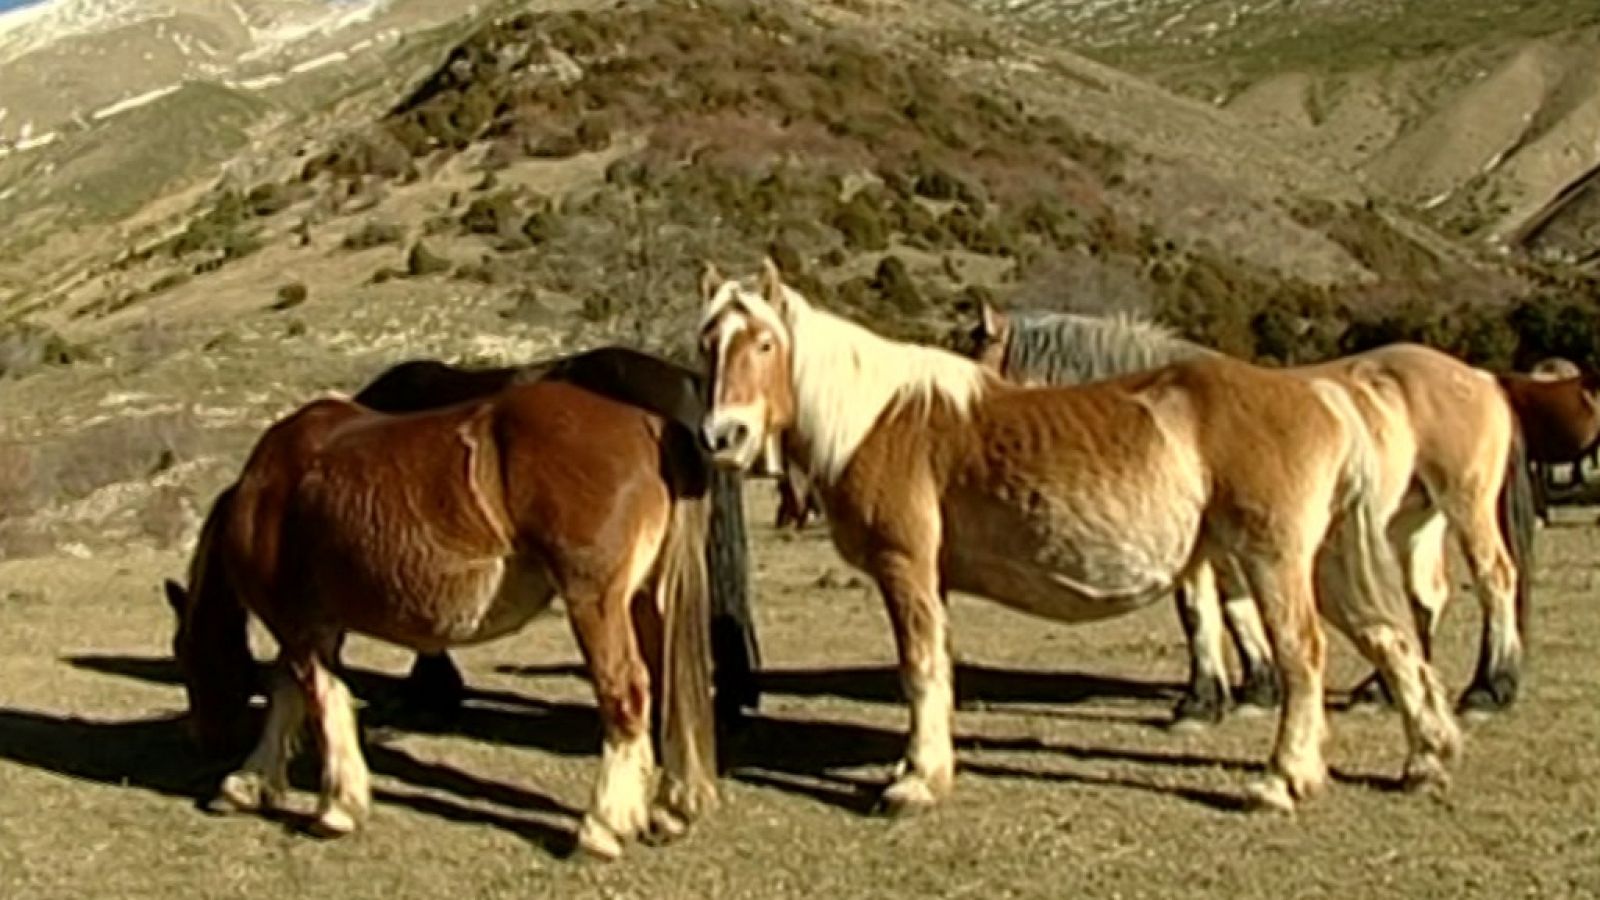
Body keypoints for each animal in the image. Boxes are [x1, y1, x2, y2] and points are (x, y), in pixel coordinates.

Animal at [166, 378, 721, 859]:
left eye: (186, 656)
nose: (204, 738)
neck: (270, 489)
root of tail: (647, 423)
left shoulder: (300, 626)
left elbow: (321, 700)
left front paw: (336, 808)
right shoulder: (317, 628)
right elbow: (288, 694)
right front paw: (248, 783)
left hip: (597, 603)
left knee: (624, 694)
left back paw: (601, 829)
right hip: (645, 602)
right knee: (667, 688)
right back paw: (668, 812)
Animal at [698, 259, 1459, 816]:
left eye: (764, 342)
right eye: (707, 346)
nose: (723, 436)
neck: (881, 419)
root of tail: (1321, 395)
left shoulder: (904, 566)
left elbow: (920, 668)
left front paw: (915, 780)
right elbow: (936, 666)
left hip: (1275, 561)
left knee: (1304, 656)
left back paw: (1283, 780)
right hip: (1324, 563)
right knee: (1391, 642)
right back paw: (1426, 758)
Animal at [971, 307, 1535, 722]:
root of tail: (1480, 377)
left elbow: (1198, 610)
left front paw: (1201, 702)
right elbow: (1234, 607)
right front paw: (1255, 689)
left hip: (1465, 506)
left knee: (1495, 580)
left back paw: (1490, 690)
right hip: (1414, 520)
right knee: (1424, 598)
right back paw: (1382, 691)